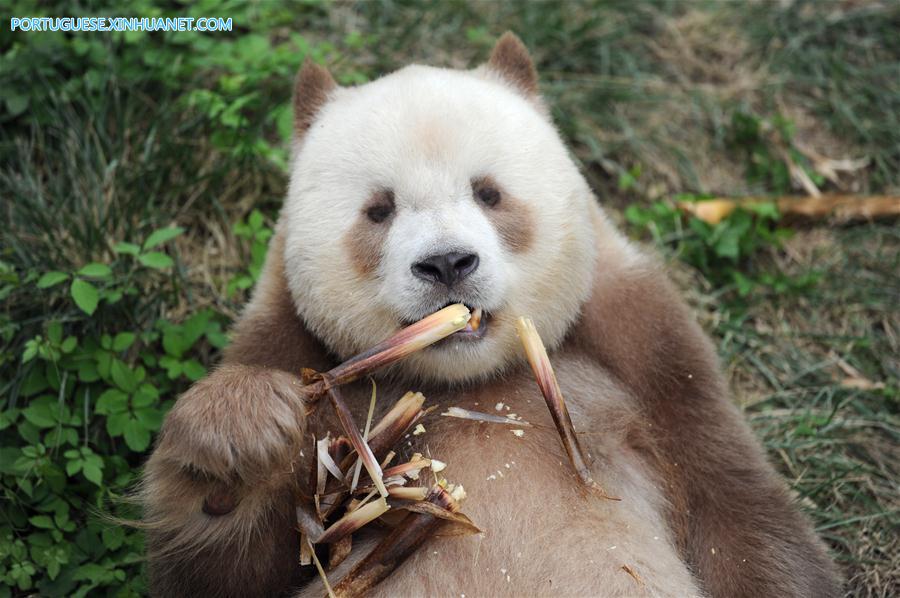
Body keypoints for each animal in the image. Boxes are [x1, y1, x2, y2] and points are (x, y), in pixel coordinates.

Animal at [141, 33, 839, 598]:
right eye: (379, 210)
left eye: (489, 193)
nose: (447, 263)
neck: (474, 381)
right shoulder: (290, 344)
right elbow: (234, 571)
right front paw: (241, 433)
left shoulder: (648, 354)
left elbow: (740, 515)